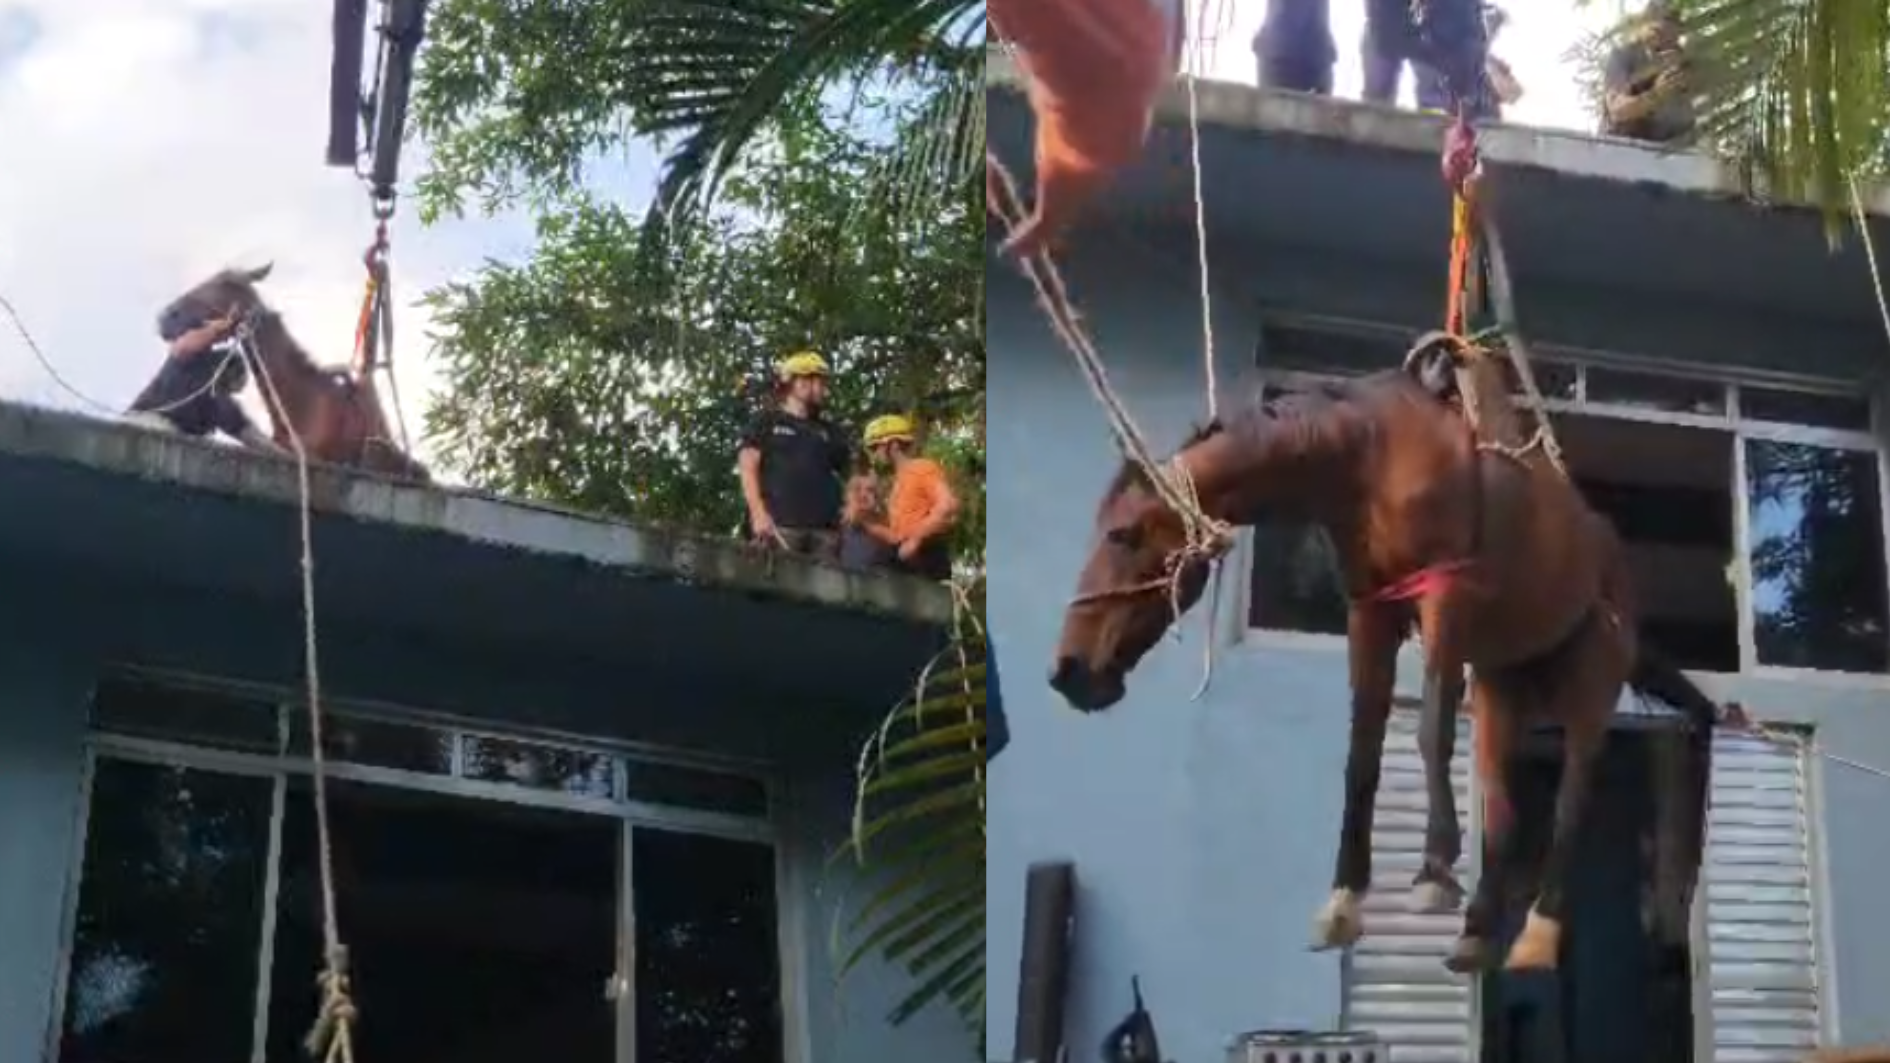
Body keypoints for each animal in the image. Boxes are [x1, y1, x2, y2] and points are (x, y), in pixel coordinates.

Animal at [1048, 351, 1721, 972]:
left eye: (1124, 535)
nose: (1068, 672)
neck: (1374, 456)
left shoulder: (1445, 594)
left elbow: (1430, 730)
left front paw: (1432, 873)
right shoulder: (1370, 612)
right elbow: (1362, 754)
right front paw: (1344, 901)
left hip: (1592, 684)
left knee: (1571, 801)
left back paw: (1537, 935)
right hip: (1503, 686)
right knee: (1505, 811)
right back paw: (1477, 933)